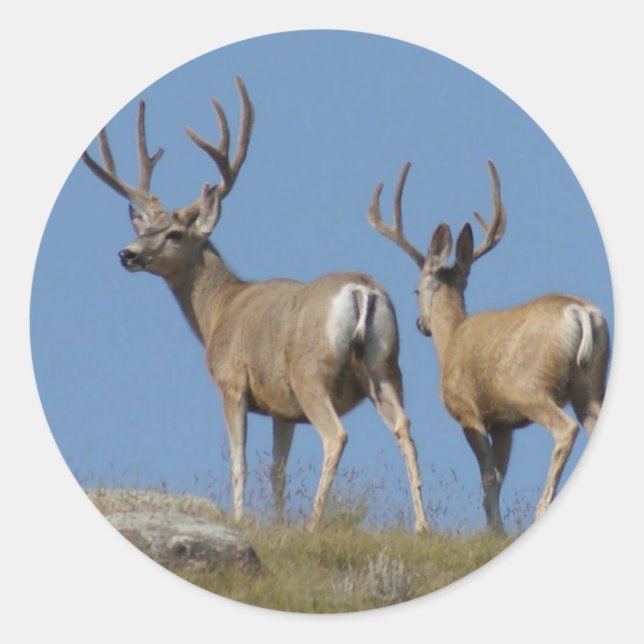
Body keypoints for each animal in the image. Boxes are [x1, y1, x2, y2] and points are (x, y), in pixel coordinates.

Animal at [81, 77, 430, 533]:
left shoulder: (233, 382)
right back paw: (422, 525)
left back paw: (313, 523)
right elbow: (277, 469)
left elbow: (240, 462)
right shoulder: (282, 408)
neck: (218, 311)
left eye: (174, 233)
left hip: (310, 371)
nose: (127, 253)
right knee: (404, 427)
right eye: (145, 229)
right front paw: (277, 522)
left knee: (335, 435)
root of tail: (361, 290)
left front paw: (241, 518)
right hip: (385, 366)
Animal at [367, 160, 609, 533]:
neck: (451, 340)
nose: (421, 325)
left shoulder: (469, 412)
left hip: (530, 386)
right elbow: (500, 475)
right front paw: (496, 526)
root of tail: (581, 312)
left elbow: (488, 477)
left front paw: (495, 529)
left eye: (416, 290)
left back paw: (541, 510)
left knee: (564, 430)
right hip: (590, 387)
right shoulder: (503, 423)